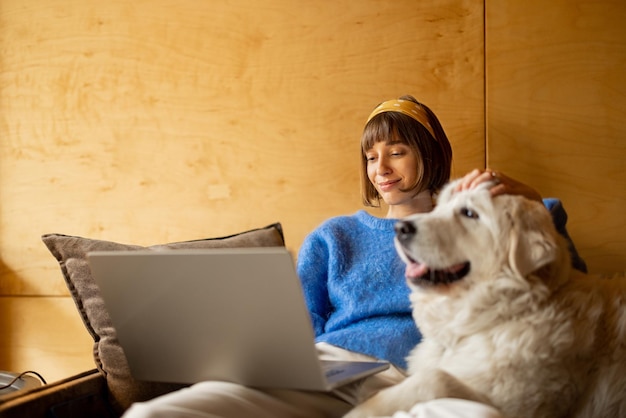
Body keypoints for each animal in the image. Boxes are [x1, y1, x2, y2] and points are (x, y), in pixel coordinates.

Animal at [344, 180, 624, 418]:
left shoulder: (517, 407)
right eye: (440, 207)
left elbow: (433, 378)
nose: (400, 228)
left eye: (470, 214)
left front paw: (361, 410)